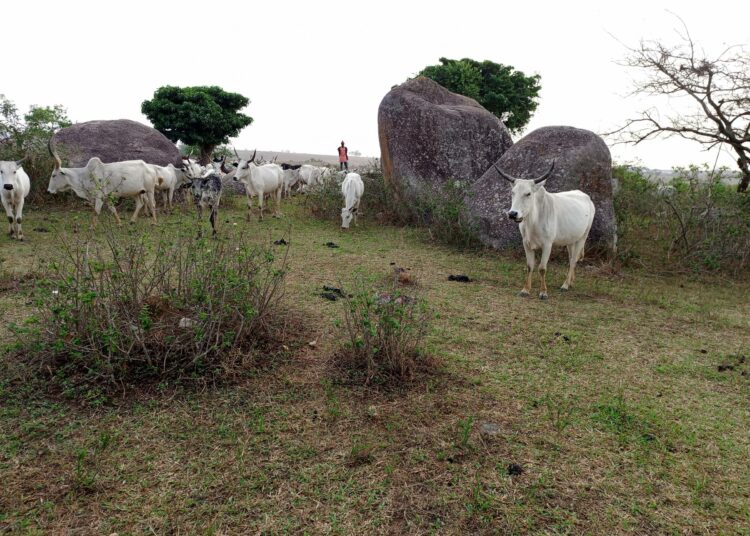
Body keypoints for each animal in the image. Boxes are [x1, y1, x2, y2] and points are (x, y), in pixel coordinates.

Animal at [496, 159, 596, 302]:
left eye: (528, 193)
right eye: (512, 192)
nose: (512, 214)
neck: (533, 221)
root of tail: (586, 197)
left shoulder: (548, 245)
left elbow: (542, 268)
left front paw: (543, 292)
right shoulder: (526, 243)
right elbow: (529, 266)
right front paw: (525, 290)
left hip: (583, 237)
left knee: (573, 260)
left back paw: (565, 285)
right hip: (571, 240)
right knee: (572, 257)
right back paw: (571, 282)